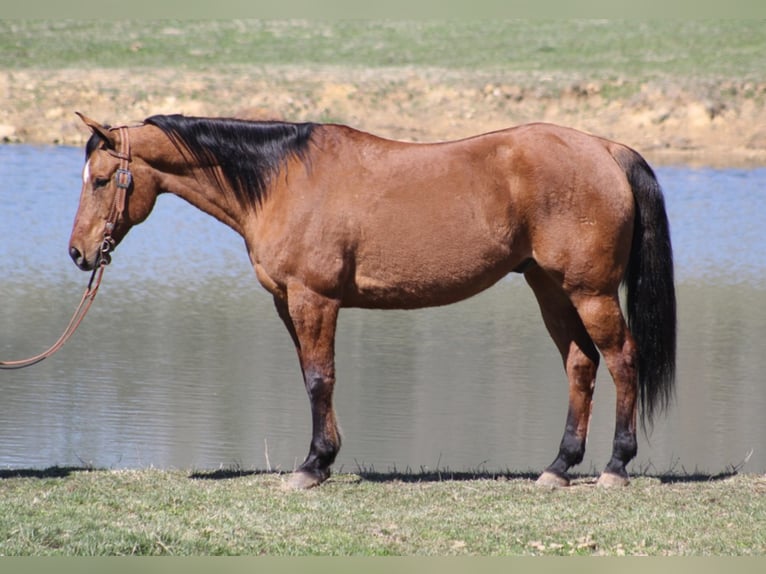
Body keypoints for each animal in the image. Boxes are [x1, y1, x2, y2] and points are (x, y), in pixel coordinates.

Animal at [69, 112, 676, 490]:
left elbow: (320, 379)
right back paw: (559, 466)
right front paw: (322, 459)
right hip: (549, 288)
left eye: (100, 179)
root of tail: (605, 149)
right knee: (580, 364)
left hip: (589, 292)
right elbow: (311, 377)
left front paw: (313, 465)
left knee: (622, 360)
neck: (283, 181)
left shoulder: (314, 299)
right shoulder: (288, 303)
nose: (78, 253)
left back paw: (616, 466)